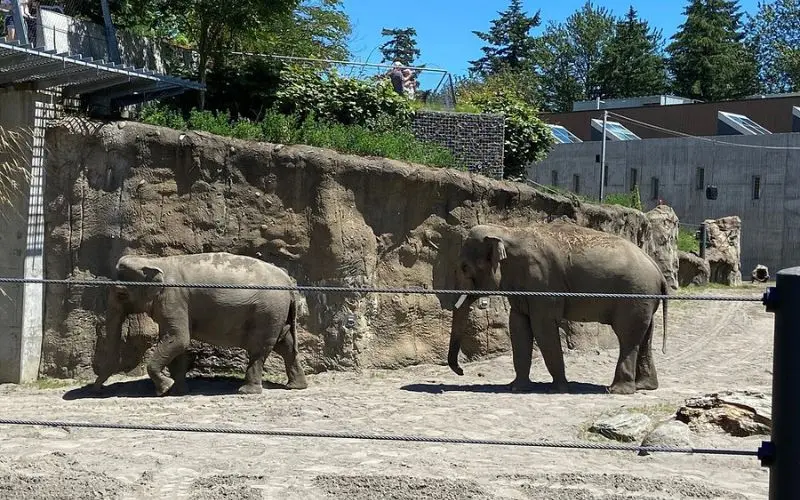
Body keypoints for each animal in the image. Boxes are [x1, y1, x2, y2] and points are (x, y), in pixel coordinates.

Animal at [92, 252, 308, 396]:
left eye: (121, 294)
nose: (98, 389)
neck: (155, 261)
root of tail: (289, 283)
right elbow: (174, 341)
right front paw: (177, 391)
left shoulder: (173, 298)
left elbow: (179, 339)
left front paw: (164, 389)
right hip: (278, 313)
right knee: (286, 345)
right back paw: (295, 387)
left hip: (267, 311)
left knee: (259, 349)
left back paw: (246, 391)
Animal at [448, 221, 668, 395]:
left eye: (465, 267)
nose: (461, 371)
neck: (508, 231)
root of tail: (658, 271)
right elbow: (518, 326)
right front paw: (517, 387)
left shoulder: (542, 281)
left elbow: (542, 327)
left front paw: (559, 388)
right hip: (644, 300)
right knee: (645, 336)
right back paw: (645, 386)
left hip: (634, 297)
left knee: (627, 337)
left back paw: (617, 390)